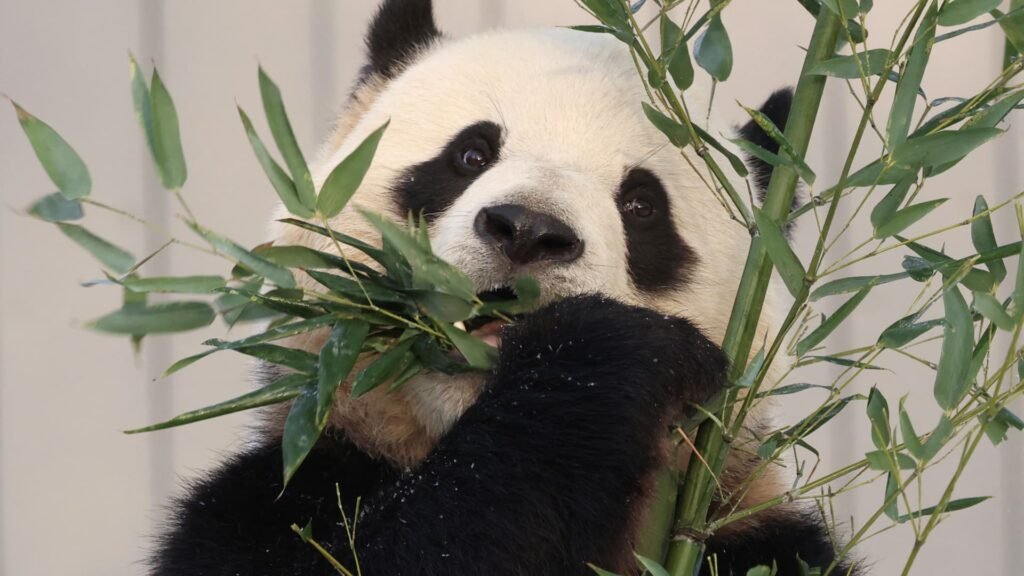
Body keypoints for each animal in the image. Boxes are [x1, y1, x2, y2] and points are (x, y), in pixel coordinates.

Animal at [151, 1, 859, 575]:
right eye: (470, 154)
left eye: (642, 205)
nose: (528, 231)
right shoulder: (280, 491)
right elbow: (421, 542)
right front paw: (605, 353)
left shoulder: (755, 537)